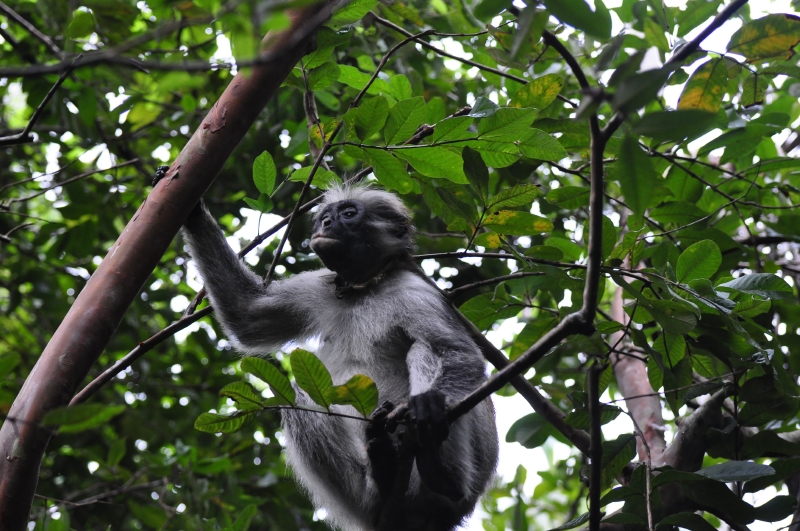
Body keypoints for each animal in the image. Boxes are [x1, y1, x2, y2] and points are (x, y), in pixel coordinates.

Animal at [181, 185, 498, 531]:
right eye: (325, 216)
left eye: (349, 214)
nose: (327, 224)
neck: (364, 289)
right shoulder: (321, 286)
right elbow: (246, 314)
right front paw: (191, 209)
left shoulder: (414, 291)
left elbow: (456, 351)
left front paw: (428, 406)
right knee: (300, 399)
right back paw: (380, 480)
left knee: (423, 349)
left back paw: (439, 469)